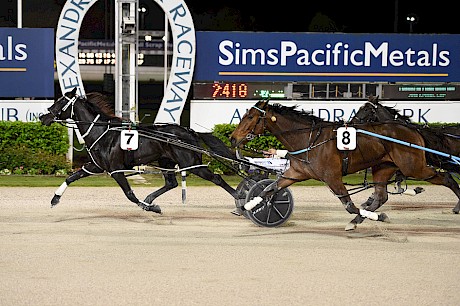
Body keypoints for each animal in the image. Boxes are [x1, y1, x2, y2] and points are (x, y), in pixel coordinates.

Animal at [39, 87, 241, 214]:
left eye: (60, 102)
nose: (43, 116)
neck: (102, 132)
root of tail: (189, 131)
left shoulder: (116, 170)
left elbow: (129, 194)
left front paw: (151, 208)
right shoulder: (96, 166)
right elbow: (71, 177)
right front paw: (55, 199)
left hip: (191, 164)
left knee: (216, 178)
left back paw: (240, 200)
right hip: (166, 161)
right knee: (171, 183)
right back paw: (150, 198)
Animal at [230, 100, 460, 230]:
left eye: (250, 117)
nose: (232, 138)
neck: (308, 139)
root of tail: (412, 130)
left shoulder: (332, 177)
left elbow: (349, 206)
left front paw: (375, 217)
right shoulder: (295, 173)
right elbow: (269, 189)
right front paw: (248, 206)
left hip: (415, 167)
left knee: (448, 178)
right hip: (382, 167)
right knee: (381, 196)